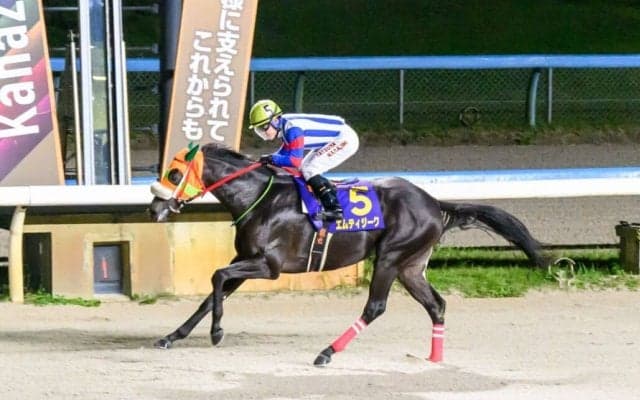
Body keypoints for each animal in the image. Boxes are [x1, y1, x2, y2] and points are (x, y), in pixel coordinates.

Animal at [148, 142, 546, 366]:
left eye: (174, 173)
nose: (154, 209)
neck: (259, 199)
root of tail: (434, 202)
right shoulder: (243, 260)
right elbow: (211, 293)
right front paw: (172, 336)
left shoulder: (268, 265)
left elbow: (216, 277)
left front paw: (217, 333)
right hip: (411, 266)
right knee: (437, 305)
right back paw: (435, 358)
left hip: (390, 257)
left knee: (375, 307)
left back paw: (325, 353)